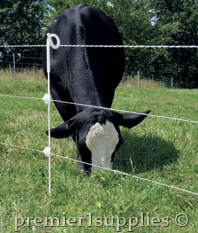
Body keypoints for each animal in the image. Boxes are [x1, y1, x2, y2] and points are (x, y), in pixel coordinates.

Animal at [41, 2, 150, 172]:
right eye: (82, 144)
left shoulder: (109, 87)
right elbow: (70, 125)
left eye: (119, 144)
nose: (102, 174)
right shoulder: (55, 90)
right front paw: (80, 163)